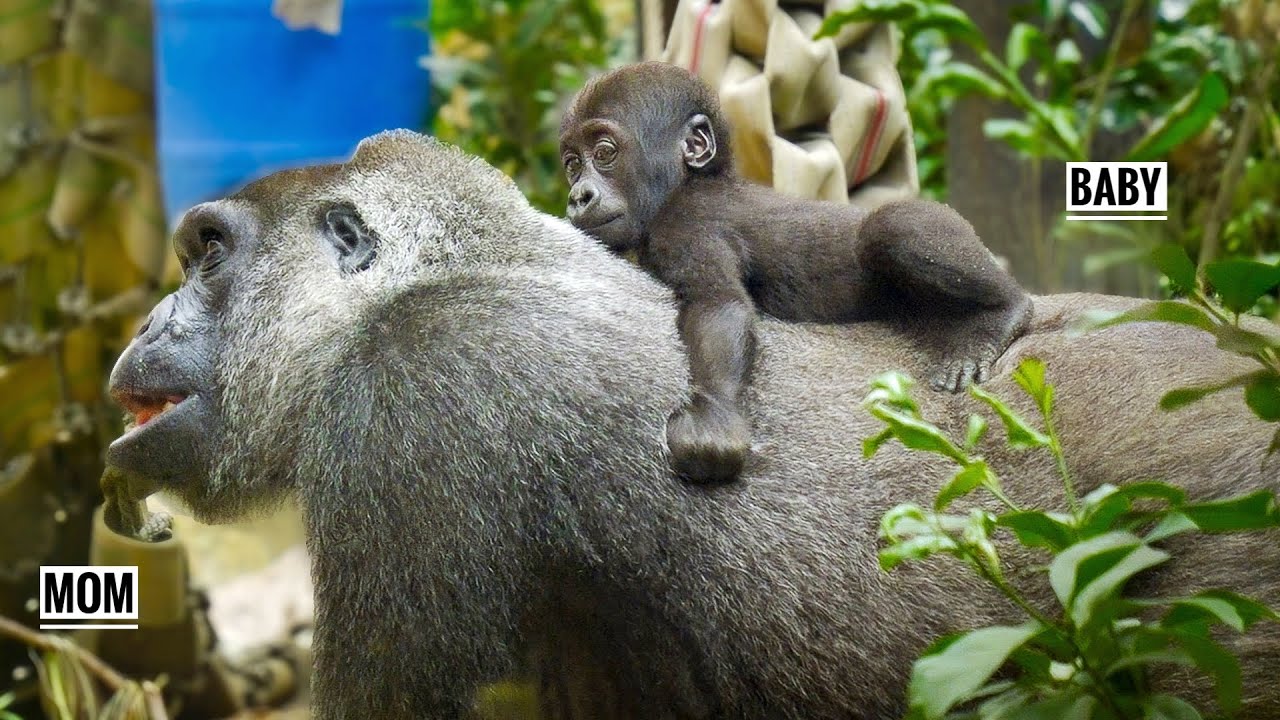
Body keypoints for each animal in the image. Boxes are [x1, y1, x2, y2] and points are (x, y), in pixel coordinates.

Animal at [559, 61, 1035, 483]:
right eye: (572, 164)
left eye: (605, 153)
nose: (578, 197)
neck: (689, 182)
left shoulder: (685, 225)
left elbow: (718, 305)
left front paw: (713, 421)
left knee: (892, 226)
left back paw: (1003, 312)